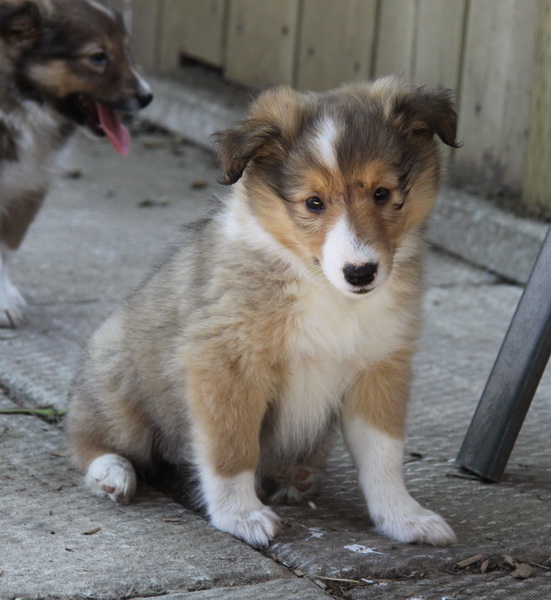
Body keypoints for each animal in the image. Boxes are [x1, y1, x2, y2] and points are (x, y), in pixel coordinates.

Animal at [0, 0, 152, 327]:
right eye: (98, 57)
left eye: (126, 50)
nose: (148, 96)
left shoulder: (28, 184)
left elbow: (6, 248)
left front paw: (4, 298)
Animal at [67, 76, 459, 548]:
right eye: (313, 203)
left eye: (382, 194)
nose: (361, 272)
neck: (321, 287)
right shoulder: (225, 363)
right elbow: (232, 447)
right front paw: (240, 515)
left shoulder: (380, 365)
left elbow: (383, 455)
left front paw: (403, 517)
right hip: (116, 380)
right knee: (89, 438)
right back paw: (112, 473)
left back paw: (298, 476)